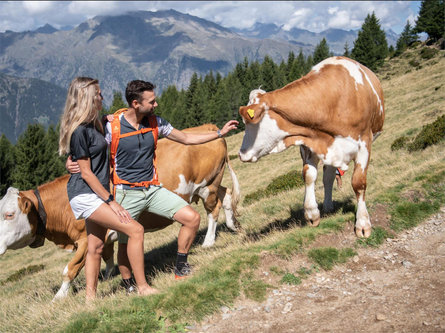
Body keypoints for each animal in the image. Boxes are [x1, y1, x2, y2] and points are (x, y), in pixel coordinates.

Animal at [0, 124, 239, 298]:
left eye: (9, 214)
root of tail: (207, 127)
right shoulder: (103, 234)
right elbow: (107, 255)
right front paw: (108, 275)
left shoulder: (84, 238)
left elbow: (71, 268)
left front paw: (59, 297)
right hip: (213, 184)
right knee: (227, 196)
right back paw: (233, 225)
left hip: (207, 186)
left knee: (213, 210)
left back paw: (209, 241)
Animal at [238, 56, 384, 236]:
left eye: (249, 121)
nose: (241, 153)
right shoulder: (309, 144)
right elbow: (309, 175)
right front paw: (312, 213)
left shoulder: (364, 143)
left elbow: (358, 183)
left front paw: (363, 223)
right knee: (328, 176)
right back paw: (327, 206)